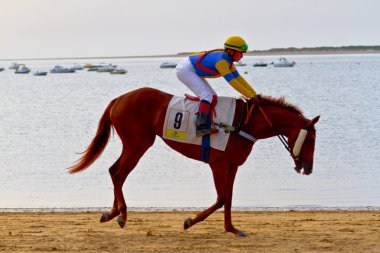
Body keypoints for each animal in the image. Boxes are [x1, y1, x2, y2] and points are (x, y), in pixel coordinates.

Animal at [69, 87, 320, 237]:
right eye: (312, 139)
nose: (308, 168)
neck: (245, 124)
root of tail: (119, 98)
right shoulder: (218, 165)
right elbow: (220, 199)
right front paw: (190, 221)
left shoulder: (232, 166)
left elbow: (228, 199)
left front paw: (231, 228)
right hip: (137, 145)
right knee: (118, 173)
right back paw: (121, 214)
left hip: (135, 145)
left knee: (115, 172)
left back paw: (111, 213)